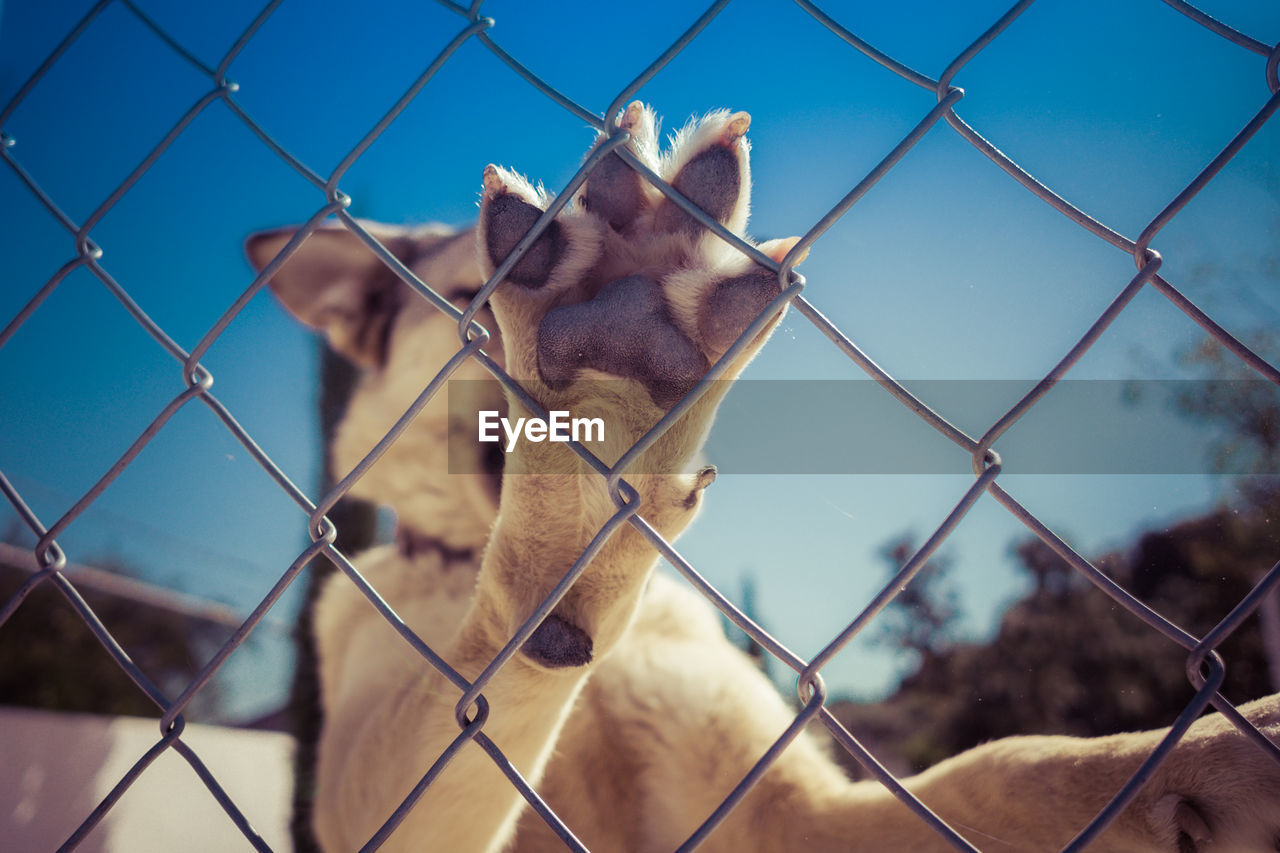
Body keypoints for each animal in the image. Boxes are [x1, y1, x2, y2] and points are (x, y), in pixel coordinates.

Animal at [247, 106, 1280, 850]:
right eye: (466, 301)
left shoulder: (783, 812)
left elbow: (1009, 762)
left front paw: (1219, 746)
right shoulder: (377, 791)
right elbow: (488, 678)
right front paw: (586, 473)